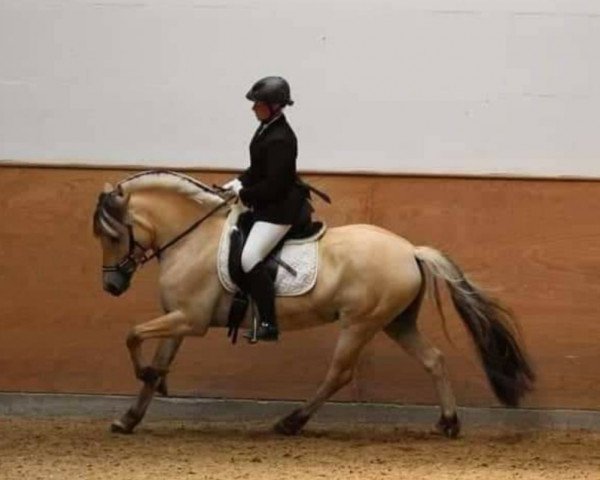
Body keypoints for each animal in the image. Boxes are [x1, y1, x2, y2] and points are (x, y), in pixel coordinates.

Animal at [92, 171, 536, 436]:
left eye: (113, 234)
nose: (111, 286)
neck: (191, 240)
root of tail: (410, 250)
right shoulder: (179, 318)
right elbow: (153, 356)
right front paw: (132, 413)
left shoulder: (190, 319)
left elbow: (131, 334)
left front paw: (147, 376)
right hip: (396, 322)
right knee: (434, 360)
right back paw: (448, 422)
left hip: (360, 323)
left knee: (339, 373)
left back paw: (292, 421)